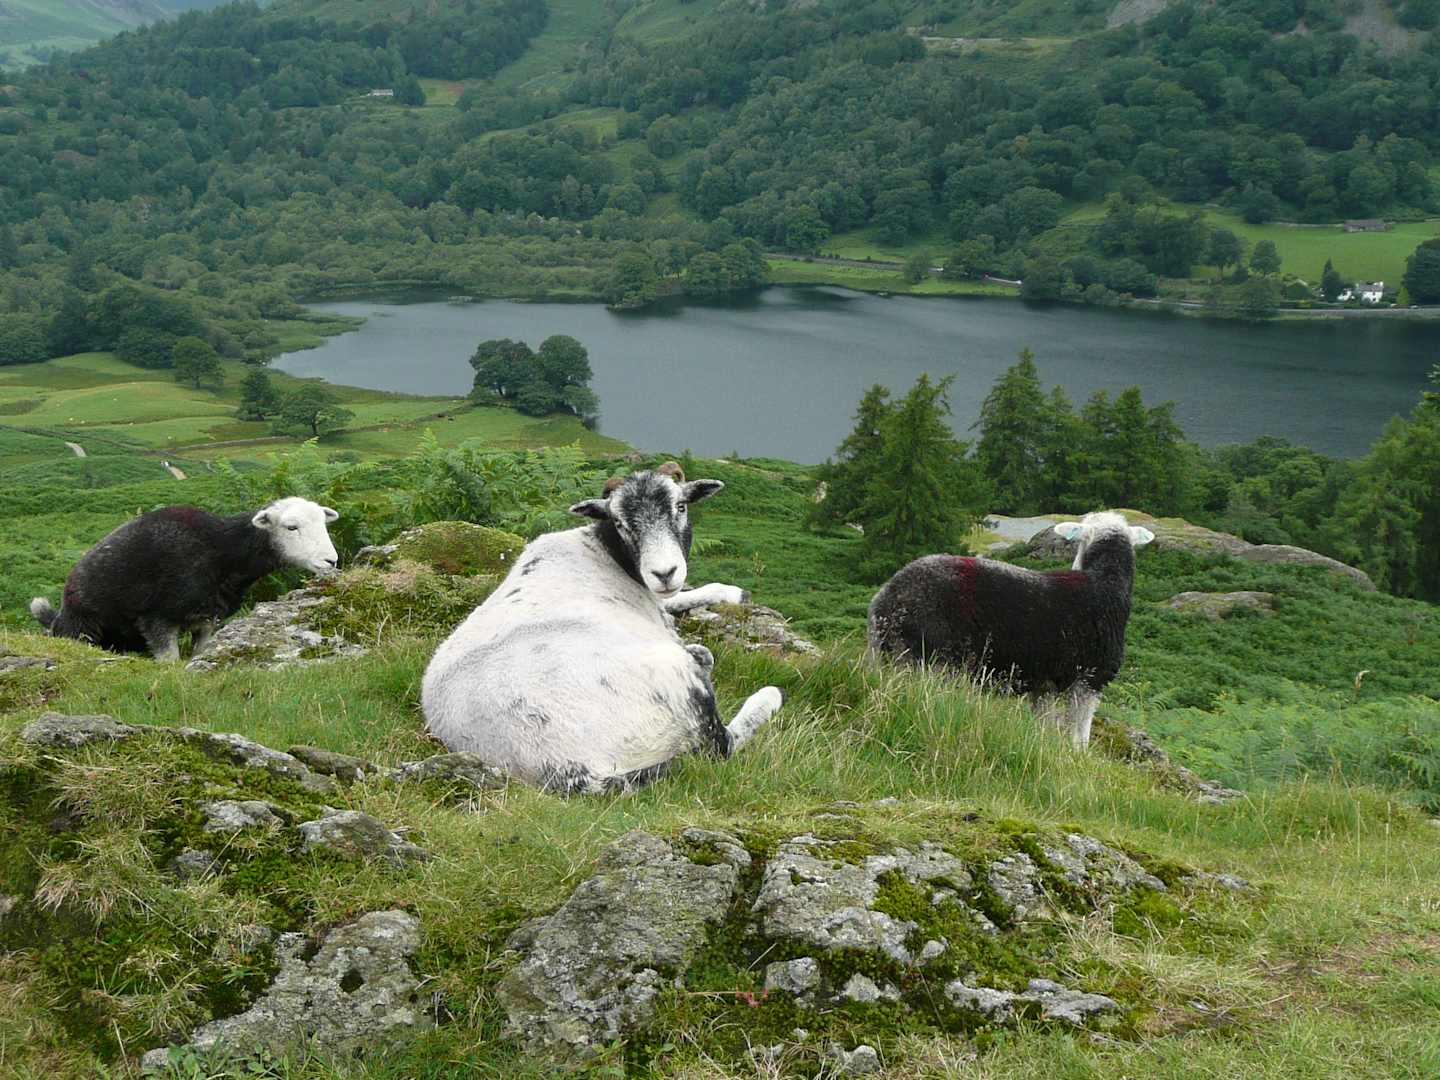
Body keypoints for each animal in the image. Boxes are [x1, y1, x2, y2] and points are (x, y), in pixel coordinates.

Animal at [30, 497, 340, 661]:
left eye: (323, 524)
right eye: (291, 527)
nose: (331, 561)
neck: (222, 552)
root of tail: (59, 614)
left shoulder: (208, 620)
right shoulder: (157, 619)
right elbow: (170, 660)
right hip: (81, 629)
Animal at [421, 463, 784, 794]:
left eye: (680, 506)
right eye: (620, 522)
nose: (664, 573)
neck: (605, 550)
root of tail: (573, 773)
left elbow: (677, 601)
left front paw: (728, 592)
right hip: (680, 691)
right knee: (721, 745)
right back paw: (766, 696)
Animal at [866, 511, 1155, 747]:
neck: (1105, 583)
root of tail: (888, 599)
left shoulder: (1044, 683)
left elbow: (1045, 725)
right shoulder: (1090, 679)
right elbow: (1079, 735)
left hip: (887, 656)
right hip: (931, 661)